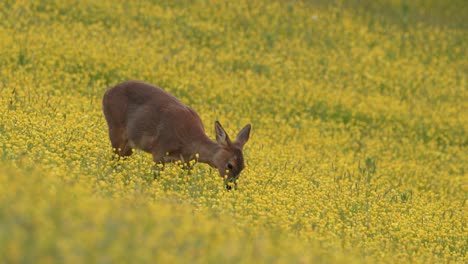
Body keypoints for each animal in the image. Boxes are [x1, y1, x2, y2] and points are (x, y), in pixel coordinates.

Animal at [101, 80, 250, 190]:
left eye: (243, 167)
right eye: (230, 165)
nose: (231, 187)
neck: (189, 142)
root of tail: (107, 92)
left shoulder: (188, 163)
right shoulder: (159, 151)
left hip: (129, 145)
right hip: (115, 129)